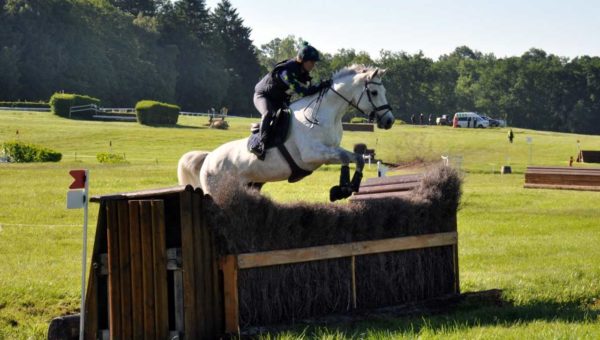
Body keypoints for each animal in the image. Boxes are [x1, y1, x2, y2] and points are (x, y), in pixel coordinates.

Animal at [177, 65, 394, 201]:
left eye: (384, 92)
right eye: (374, 93)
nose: (389, 121)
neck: (323, 113)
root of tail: (208, 158)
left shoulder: (329, 150)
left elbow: (355, 158)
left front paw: (348, 188)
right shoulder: (313, 154)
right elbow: (344, 157)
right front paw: (341, 190)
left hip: (251, 185)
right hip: (216, 188)